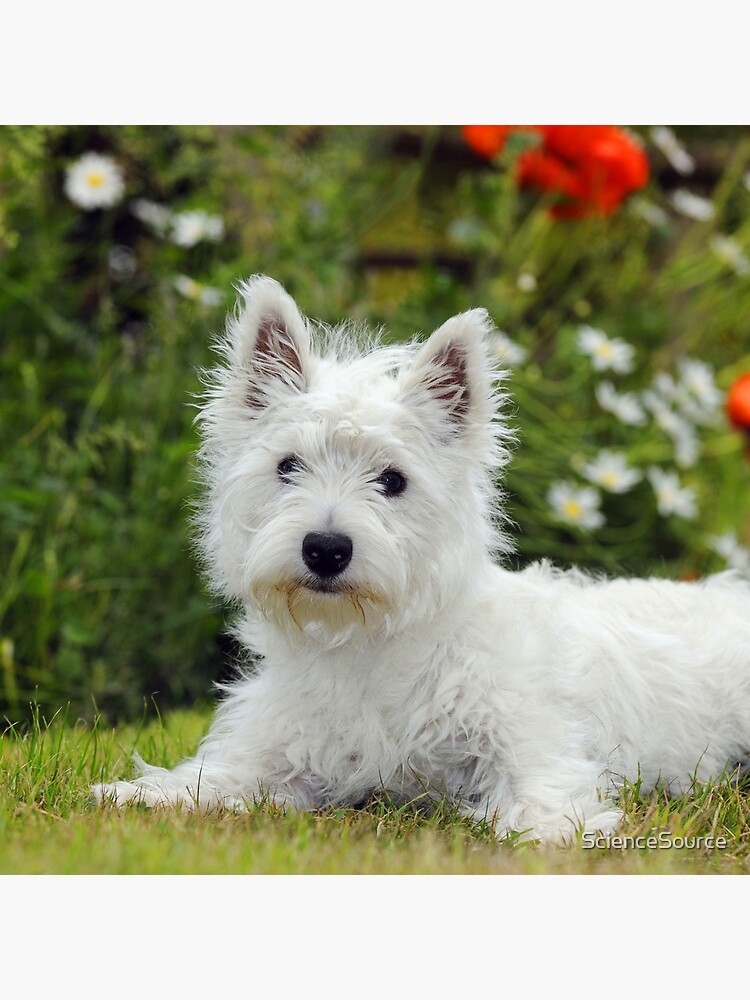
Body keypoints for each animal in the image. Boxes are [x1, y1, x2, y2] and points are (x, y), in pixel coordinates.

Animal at [92, 276, 750, 844]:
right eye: (288, 466)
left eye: (392, 479)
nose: (325, 549)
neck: (372, 647)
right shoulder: (276, 751)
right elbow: (212, 780)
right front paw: (138, 794)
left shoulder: (534, 748)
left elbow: (537, 805)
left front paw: (542, 835)